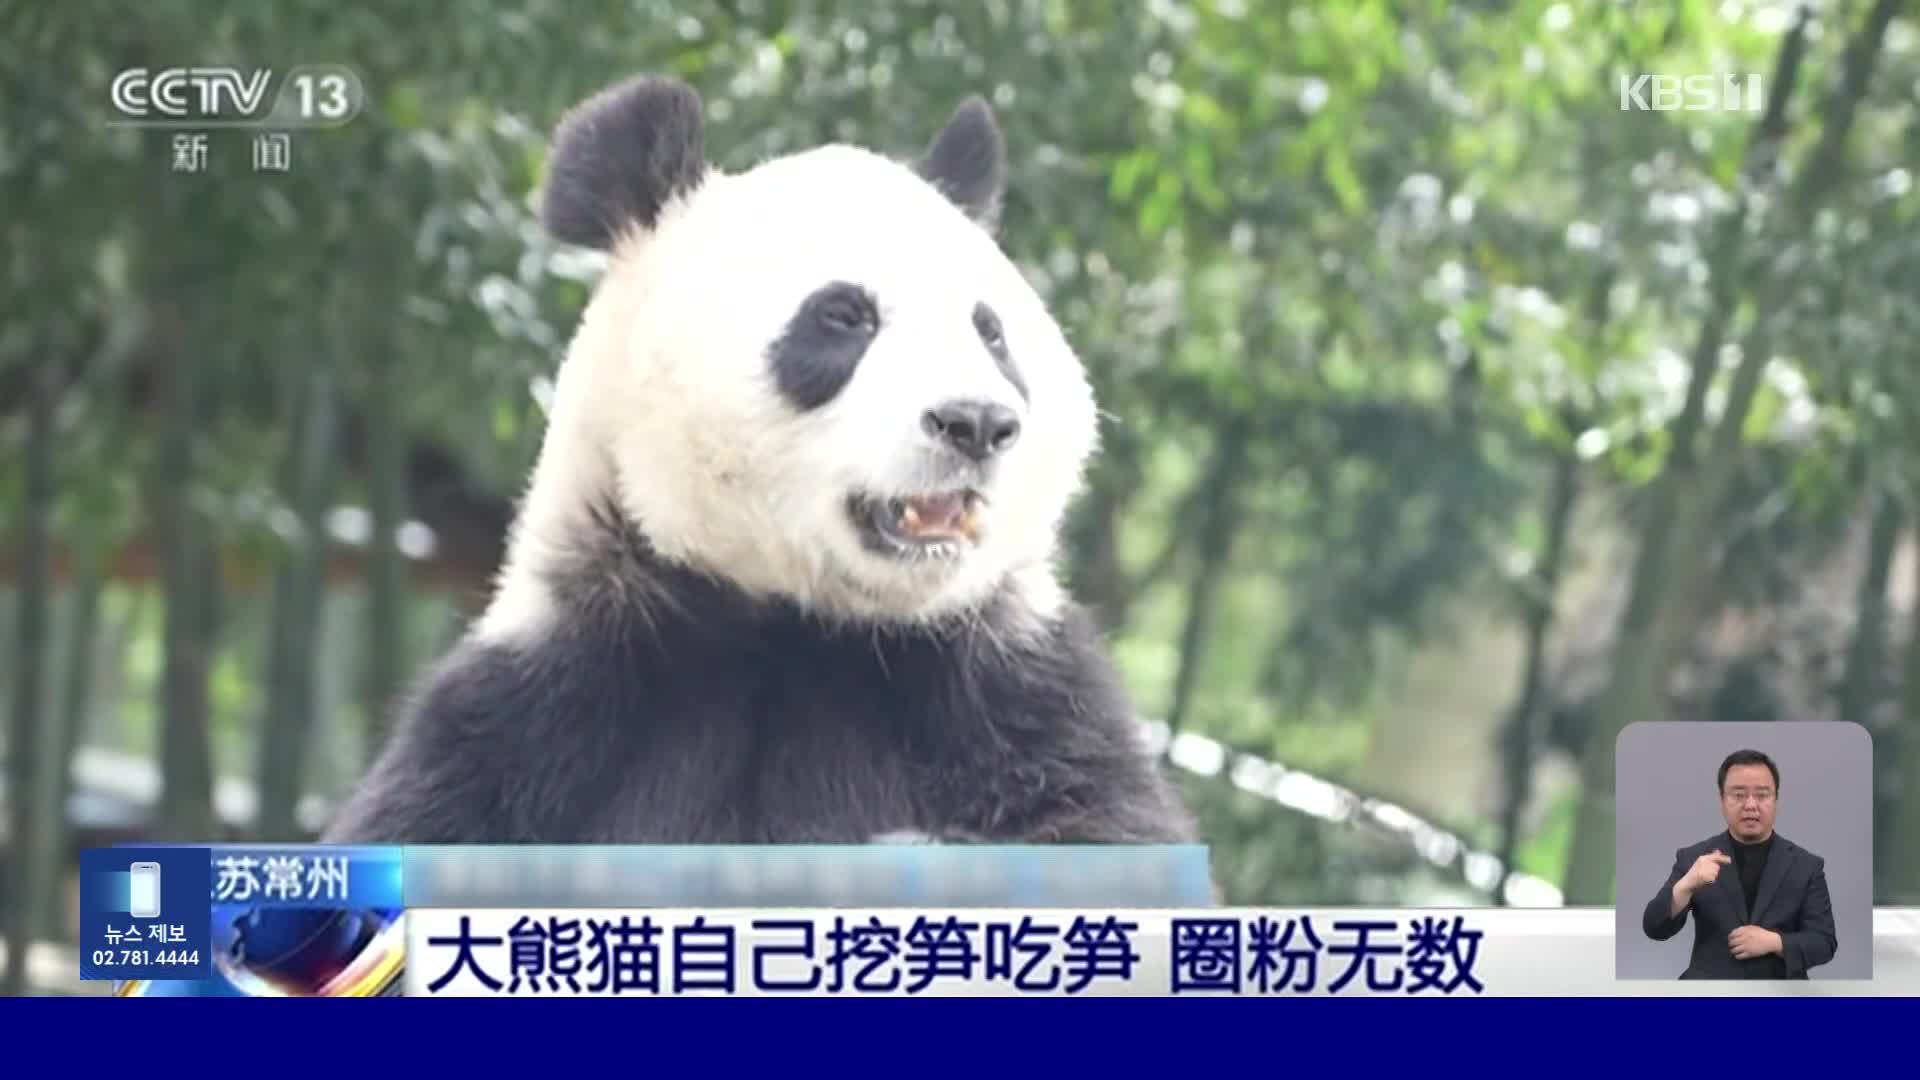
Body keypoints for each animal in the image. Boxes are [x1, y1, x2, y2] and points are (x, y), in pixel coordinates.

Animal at [328, 77, 1198, 849]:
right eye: (843, 317)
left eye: (991, 332)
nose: (976, 423)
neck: (798, 625)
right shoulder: (543, 701)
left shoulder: (1019, 696)